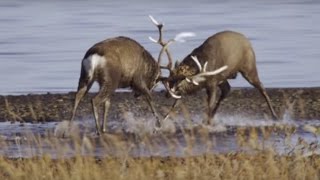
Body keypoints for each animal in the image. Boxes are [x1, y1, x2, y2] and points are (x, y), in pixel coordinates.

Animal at [150, 22, 278, 125]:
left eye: (179, 82)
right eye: (169, 80)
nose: (167, 94)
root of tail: (247, 41)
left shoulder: (211, 83)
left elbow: (209, 103)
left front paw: (206, 122)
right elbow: (176, 103)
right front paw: (162, 120)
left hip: (249, 67)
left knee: (261, 87)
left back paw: (275, 116)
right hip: (224, 77)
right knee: (227, 89)